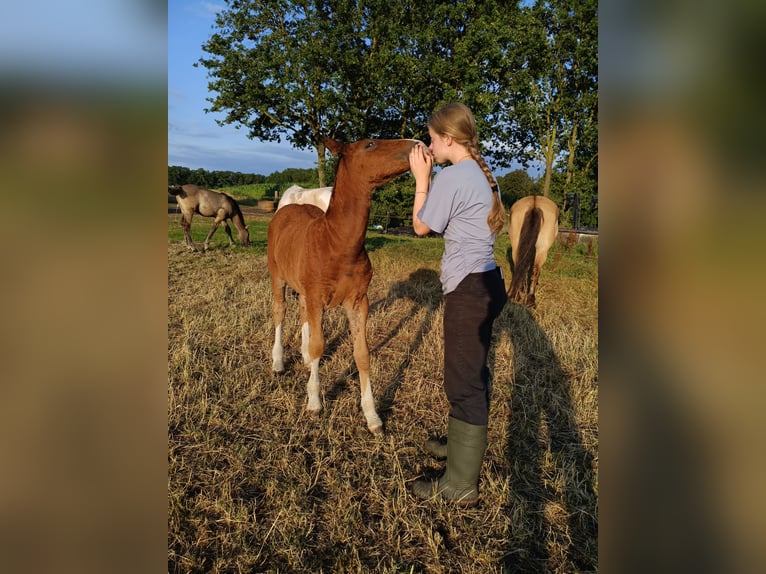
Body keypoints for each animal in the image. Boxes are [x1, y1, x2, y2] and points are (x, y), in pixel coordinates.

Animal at [267, 137, 420, 434]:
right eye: (370, 144)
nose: (418, 143)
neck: (336, 243)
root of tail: (287, 204)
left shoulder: (358, 301)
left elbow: (362, 354)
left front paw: (372, 416)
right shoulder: (317, 297)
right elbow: (319, 345)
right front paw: (314, 402)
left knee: (302, 312)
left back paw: (303, 357)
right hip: (277, 276)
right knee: (280, 311)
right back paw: (278, 362)